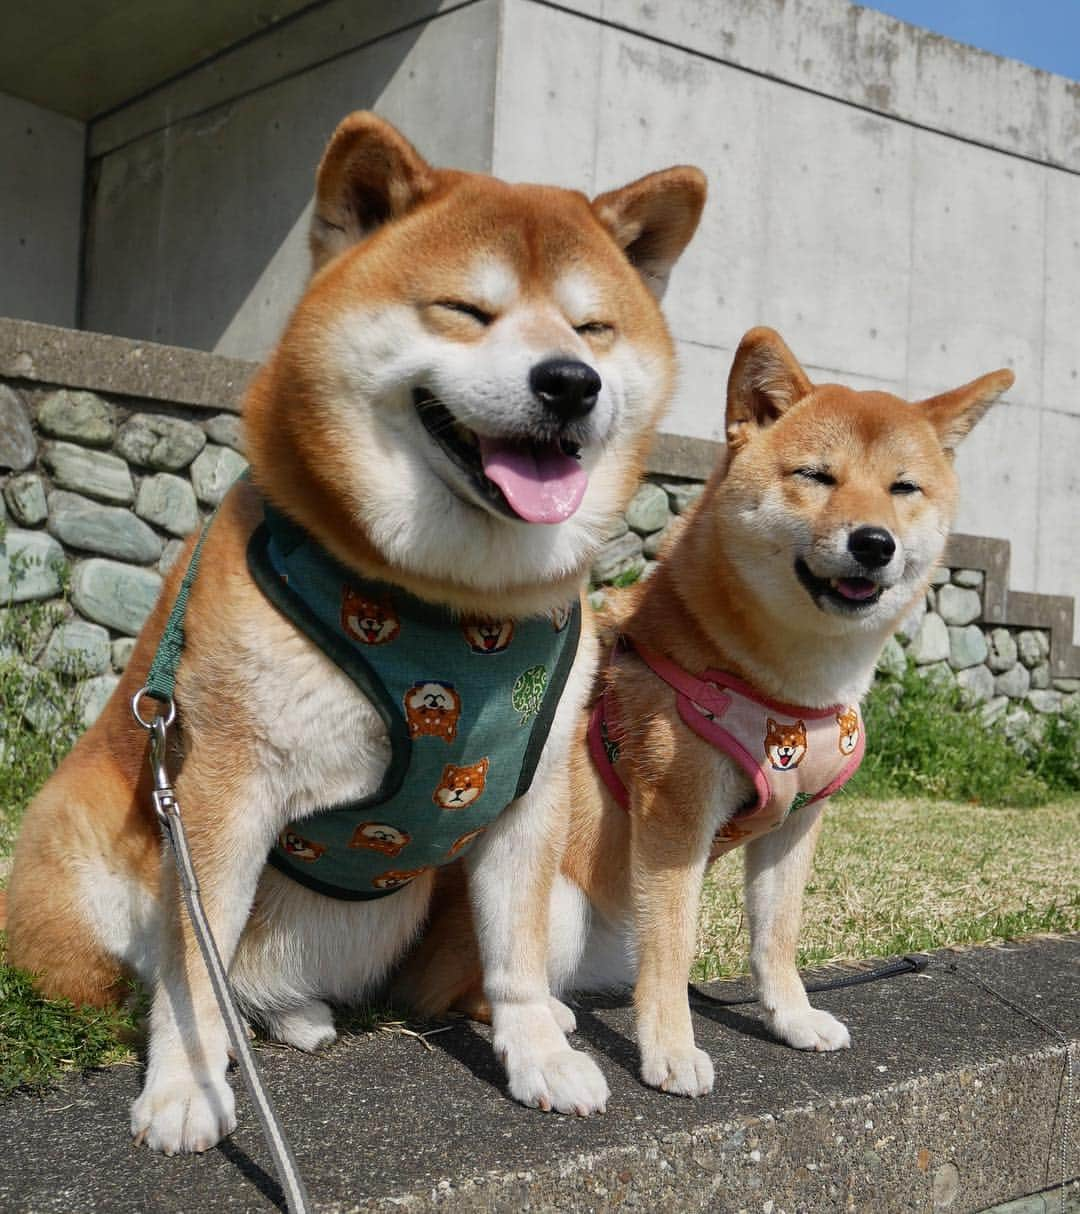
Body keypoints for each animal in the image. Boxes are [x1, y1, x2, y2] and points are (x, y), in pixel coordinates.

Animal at [2, 111, 708, 1146]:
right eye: (465, 310)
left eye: (593, 329)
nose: (570, 383)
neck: (451, 605)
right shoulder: (225, 787)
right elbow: (190, 976)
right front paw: (184, 1089)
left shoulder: (528, 799)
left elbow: (518, 957)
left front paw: (537, 1054)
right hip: (93, 845)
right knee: (162, 979)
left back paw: (300, 1016)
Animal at [393, 322, 1009, 1102]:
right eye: (816, 476)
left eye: (904, 488)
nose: (874, 542)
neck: (790, 690)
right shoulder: (673, 819)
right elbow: (673, 949)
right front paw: (672, 1051)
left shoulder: (799, 821)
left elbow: (776, 935)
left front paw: (791, 1017)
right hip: (556, 905)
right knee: (459, 990)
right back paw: (549, 1018)